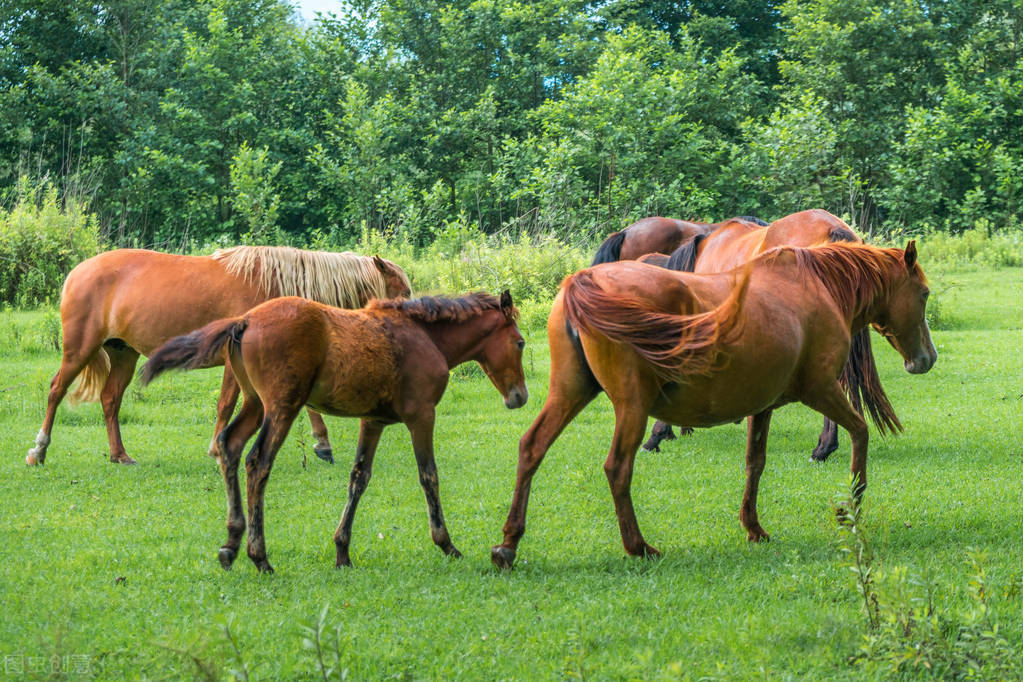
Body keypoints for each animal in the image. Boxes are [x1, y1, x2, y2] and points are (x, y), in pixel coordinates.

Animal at [24, 242, 407, 466]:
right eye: (402, 290)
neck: (272, 284)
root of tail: (77, 271)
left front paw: (322, 444)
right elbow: (226, 404)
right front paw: (215, 447)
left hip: (123, 354)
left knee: (110, 400)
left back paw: (119, 455)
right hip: (79, 349)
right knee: (56, 390)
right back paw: (39, 450)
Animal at [142, 290, 527, 572]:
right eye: (520, 343)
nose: (519, 397)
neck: (426, 337)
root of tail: (245, 320)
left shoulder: (372, 421)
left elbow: (359, 477)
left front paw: (342, 552)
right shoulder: (421, 416)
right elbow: (428, 476)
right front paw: (447, 544)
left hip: (254, 403)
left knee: (230, 446)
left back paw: (230, 545)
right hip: (282, 407)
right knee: (257, 462)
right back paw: (259, 556)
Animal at [493, 242, 937, 568]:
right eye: (925, 293)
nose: (927, 358)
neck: (814, 287)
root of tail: (583, 279)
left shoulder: (763, 405)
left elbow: (755, 463)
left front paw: (753, 527)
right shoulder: (822, 389)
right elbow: (860, 432)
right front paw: (851, 507)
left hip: (569, 393)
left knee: (532, 448)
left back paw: (509, 544)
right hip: (632, 407)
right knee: (617, 468)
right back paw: (638, 546)